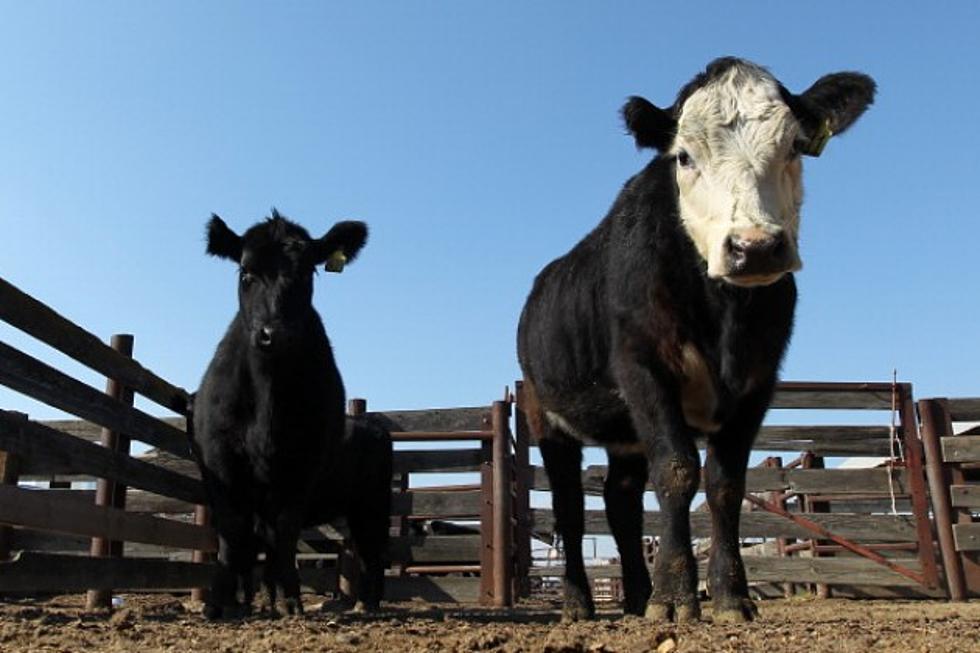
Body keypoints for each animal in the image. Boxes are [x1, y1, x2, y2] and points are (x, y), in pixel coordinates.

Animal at [191, 209, 390, 616]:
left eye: (307, 273)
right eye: (245, 274)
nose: (274, 334)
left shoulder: (303, 465)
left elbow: (283, 532)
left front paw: (290, 600)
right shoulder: (220, 461)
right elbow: (235, 534)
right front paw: (224, 603)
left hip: (372, 504)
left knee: (372, 553)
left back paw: (368, 604)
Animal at [516, 59, 876, 620]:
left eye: (795, 146)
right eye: (683, 157)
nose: (755, 247)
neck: (723, 317)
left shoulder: (759, 379)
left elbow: (725, 485)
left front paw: (730, 595)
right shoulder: (643, 367)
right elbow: (677, 471)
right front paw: (674, 599)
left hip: (624, 435)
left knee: (621, 503)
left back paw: (635, 597)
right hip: (545, 416)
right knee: (569, 509)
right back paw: (579, 602)